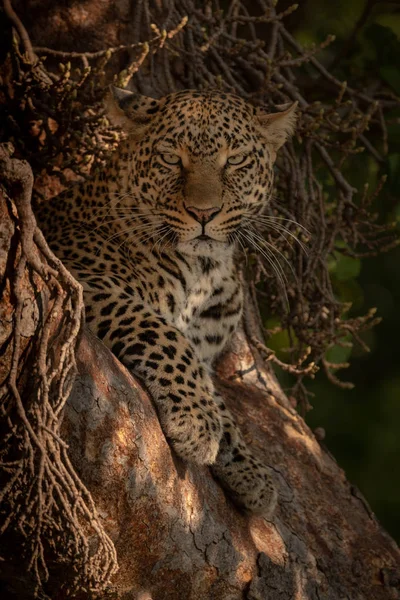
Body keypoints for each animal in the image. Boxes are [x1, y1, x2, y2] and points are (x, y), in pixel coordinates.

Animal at [36, 88, 296, 516]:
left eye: (235, 160)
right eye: (172, 159)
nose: (204, 213)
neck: (205, 271)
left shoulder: (206, 353)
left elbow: (219, 398)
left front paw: (248, 467)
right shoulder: (77, 278)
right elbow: (164, 335)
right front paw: (197, 422)